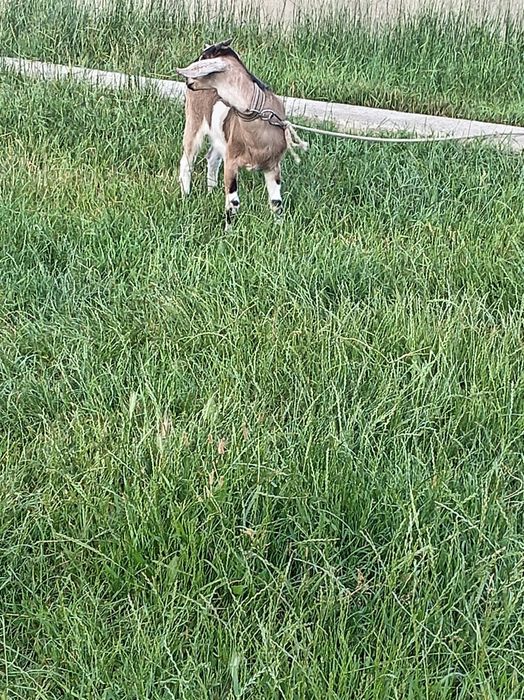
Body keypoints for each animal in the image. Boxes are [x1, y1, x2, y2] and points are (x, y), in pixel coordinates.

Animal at [177, 39, 307, 226]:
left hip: (220, 138)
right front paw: (228, 230)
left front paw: (279, 226)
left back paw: (211, 191)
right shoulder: (232, 161)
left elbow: (276, 202)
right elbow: (233, 202)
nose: (187, 80)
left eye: (203, 59)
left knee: (212, 157)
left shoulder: (273, 165)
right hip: (194, 119)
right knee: (186, 161)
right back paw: (186, 197)